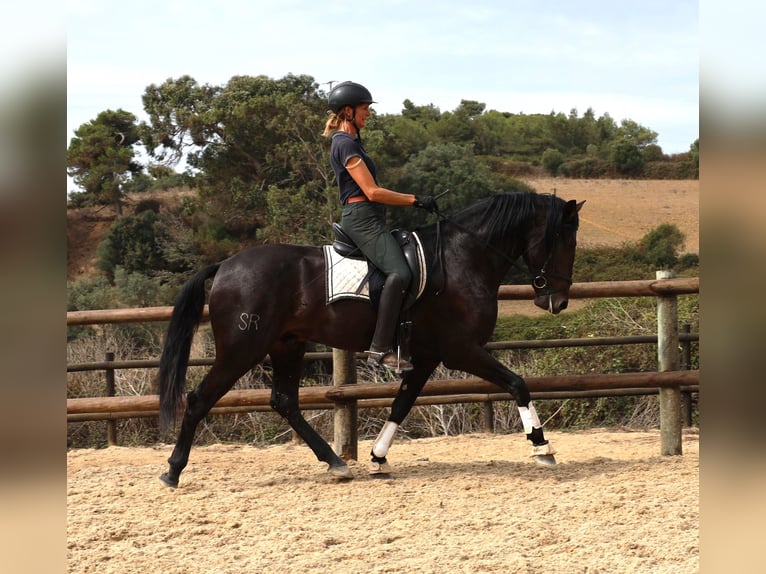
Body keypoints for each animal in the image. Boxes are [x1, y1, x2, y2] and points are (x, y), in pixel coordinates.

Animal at [159, 192, 584, 486]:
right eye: (566, 241)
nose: (558, 301)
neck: (463, 257)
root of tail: (225, 267)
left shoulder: (426, 357)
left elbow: (401, 404)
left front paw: (378, 459)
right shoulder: (461, 350)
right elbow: (517, 383)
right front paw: (542, 446)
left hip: (287, 345)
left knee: (285, 401)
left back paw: (336, 463)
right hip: (242, 349)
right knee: (199, 399)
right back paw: (173, 471)